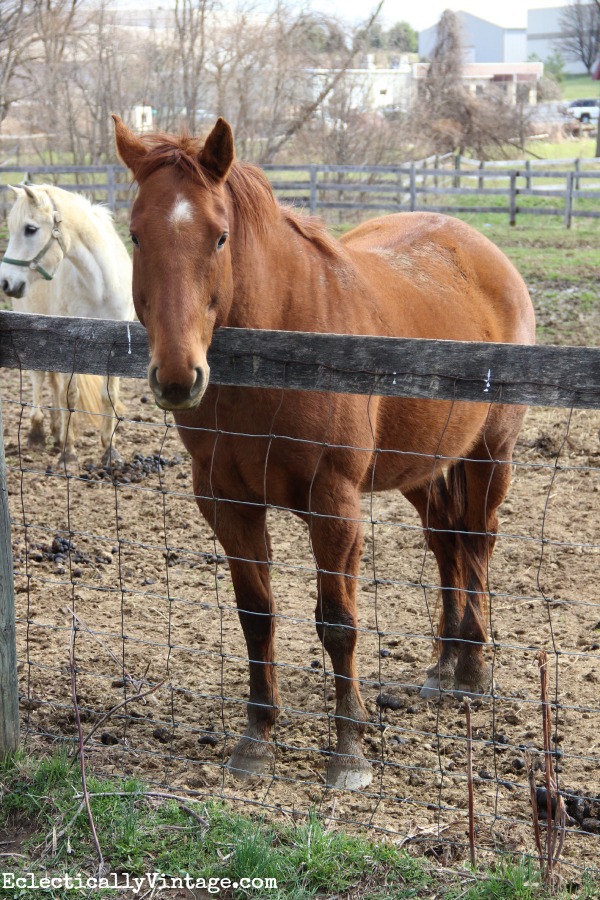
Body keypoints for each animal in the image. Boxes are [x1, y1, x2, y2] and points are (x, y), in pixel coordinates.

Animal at [0, 182, 134, 464]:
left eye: (30, 229)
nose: (6, 282)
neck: (99, 285)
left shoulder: (118, 344)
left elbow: (109, 396)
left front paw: (109, 450)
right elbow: (70, 394)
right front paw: (69, 451)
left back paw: (56, 431)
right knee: (40, 379)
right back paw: (38, 431)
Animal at [112, 114, 536, 788]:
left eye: (220, 237)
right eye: (134, 234)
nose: (178, 377)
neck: (284, 349)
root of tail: (480, 249)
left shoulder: (334, 504)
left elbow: (338, 623)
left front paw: (349, 750)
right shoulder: (227, 504)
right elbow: (256, 615)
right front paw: (257, 738)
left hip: (491, 455)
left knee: (477, 542)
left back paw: (472, 669)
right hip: (422, 469)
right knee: (446, 544)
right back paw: (443, 667)